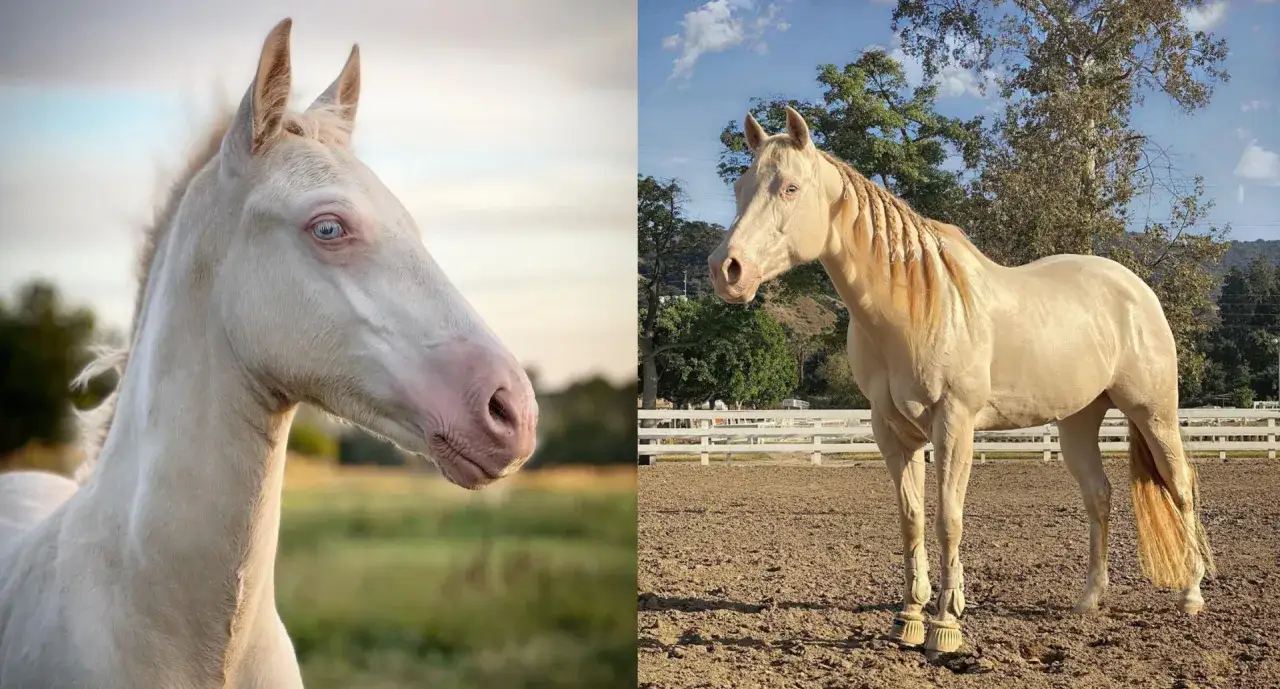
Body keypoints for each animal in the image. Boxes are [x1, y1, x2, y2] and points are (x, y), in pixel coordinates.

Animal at [706, 106, 1214, 657]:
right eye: (740, 186)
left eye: (791, 188)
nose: (726, 269)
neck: (914, 305)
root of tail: (1136, 290)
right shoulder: (892, 431)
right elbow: (911, 518)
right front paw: (909, 617)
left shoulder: (954, 423)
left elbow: (948, 518)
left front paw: (946, 626)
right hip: (1079, 421)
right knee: (1099, 497)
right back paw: (1089, 600)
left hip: (1153, 412)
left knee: (1181, 486)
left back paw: (1191, 594)